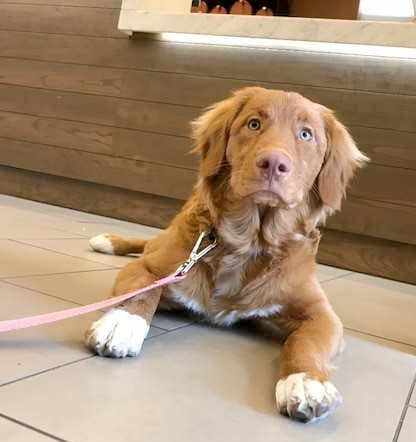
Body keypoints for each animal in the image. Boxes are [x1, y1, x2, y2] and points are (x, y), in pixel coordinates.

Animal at [83, 86, 368, 422]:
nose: (273, 163)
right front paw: (122, 325)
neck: (250, 242)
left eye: (306, 134)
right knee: (146, 243)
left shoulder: (321, 314)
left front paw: (306, 381)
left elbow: (305, 342)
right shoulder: (150, 268)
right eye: (254, 123)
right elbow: (141, 291)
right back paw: (109, 240)